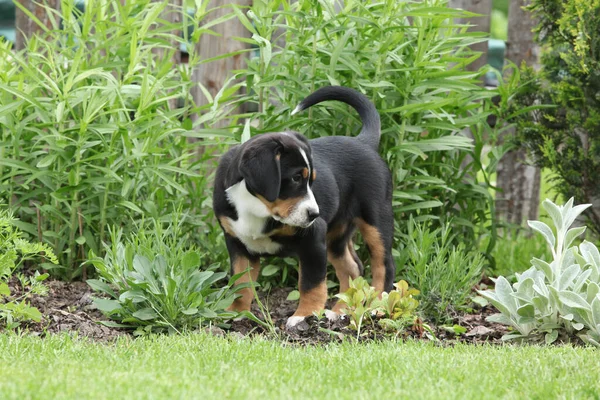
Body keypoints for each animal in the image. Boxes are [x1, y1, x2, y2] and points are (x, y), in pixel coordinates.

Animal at [213, 85, 396, 328]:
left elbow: (311, 283)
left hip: (375, 220)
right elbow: (240, 282)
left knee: (383, 265)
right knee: (352, 267)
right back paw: (340, 311)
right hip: (336, 234)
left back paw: (377, 308)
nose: (314, 214)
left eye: (311, 180)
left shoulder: (313, 238)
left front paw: (304, 315)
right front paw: (236, 313)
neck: (256, 206)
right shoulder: (237, 243)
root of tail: (362, 141)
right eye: (296, 178)